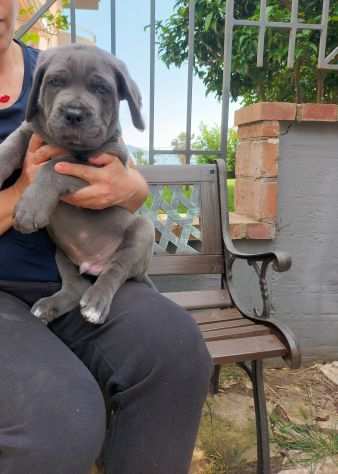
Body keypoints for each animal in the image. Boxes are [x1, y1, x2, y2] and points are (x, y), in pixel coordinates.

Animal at [0, 43, 154, 326]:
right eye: (55, 82)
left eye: (101, 88)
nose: (73, 113)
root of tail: (93, 263)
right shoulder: (29, 129)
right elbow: (11, 144)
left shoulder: (102, 165)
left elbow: (55, 167)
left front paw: (30, 208)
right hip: (61, 251)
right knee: (76, 286)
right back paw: (48, 307)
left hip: (142, 231)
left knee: (116, 269)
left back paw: (96, 303)